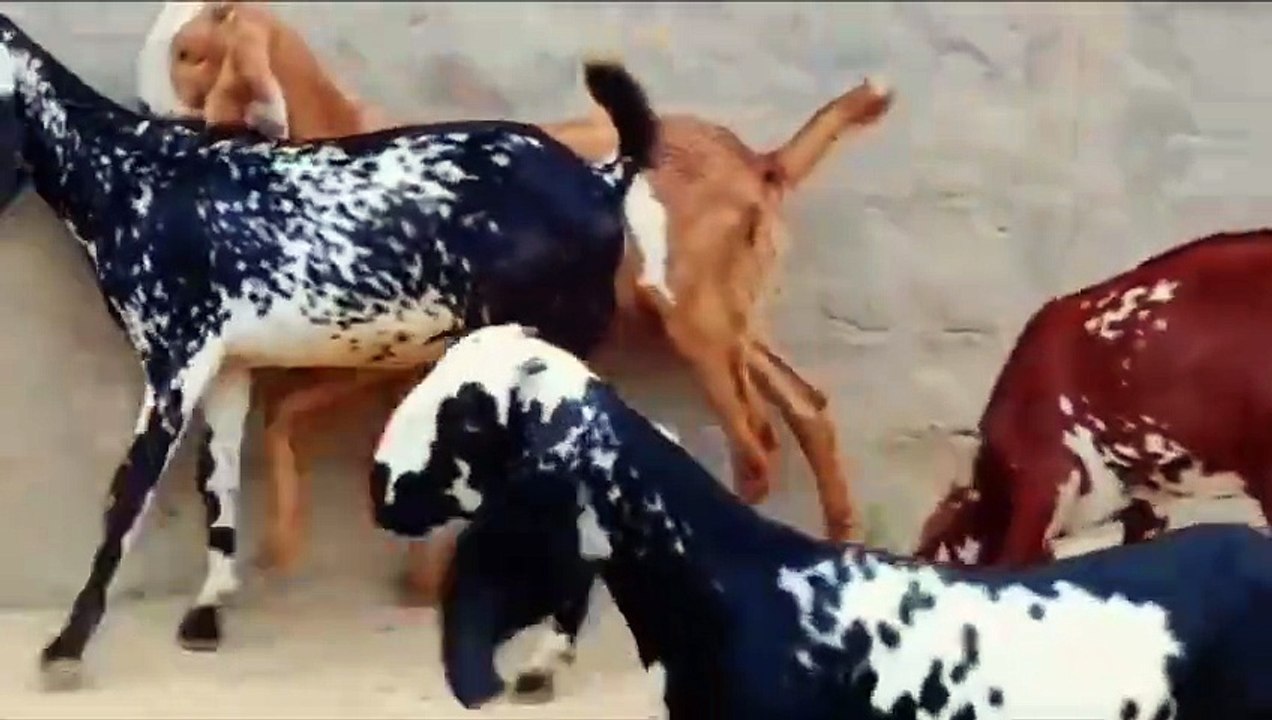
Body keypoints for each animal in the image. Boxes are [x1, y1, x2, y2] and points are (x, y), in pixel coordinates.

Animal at [0, 12, 664, 691]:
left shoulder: (173, 358)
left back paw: (543, 661)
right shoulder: (227, 365)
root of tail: (603, 179)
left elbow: (126, 497)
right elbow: (219, 480)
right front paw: (208, 611)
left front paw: (66, 647)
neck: (132, 174)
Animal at [135, 2, 895, 583]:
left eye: (189, 51)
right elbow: (286, 420)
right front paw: (288, 544)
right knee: (806, 405)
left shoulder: (414, 351)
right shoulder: (376, 358)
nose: (140, 111)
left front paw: (427, 578)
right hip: (723, 315)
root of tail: (757, 160)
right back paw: (839, 535)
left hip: (694, 318)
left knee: (756, 443)